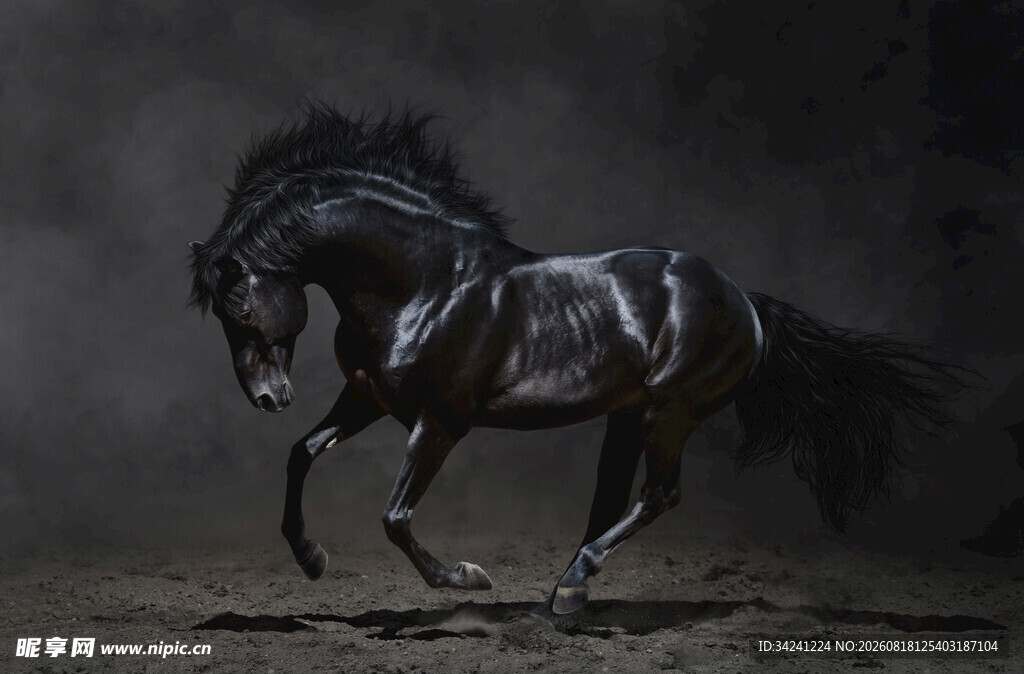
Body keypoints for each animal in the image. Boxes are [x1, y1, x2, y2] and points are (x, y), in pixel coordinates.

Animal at [188, 104, 967, 615]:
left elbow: (396, 517)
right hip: (629, 416)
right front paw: (311, 558)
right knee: (612, 501)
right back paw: (564, 594)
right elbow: (301, 453)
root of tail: (745, 301)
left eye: (240, 308)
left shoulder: (439, 422)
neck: (425, 283)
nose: (267, 397)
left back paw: (570, 588)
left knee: (658, 496)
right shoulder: (369, 399)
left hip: (670, 413)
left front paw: (467, 579)